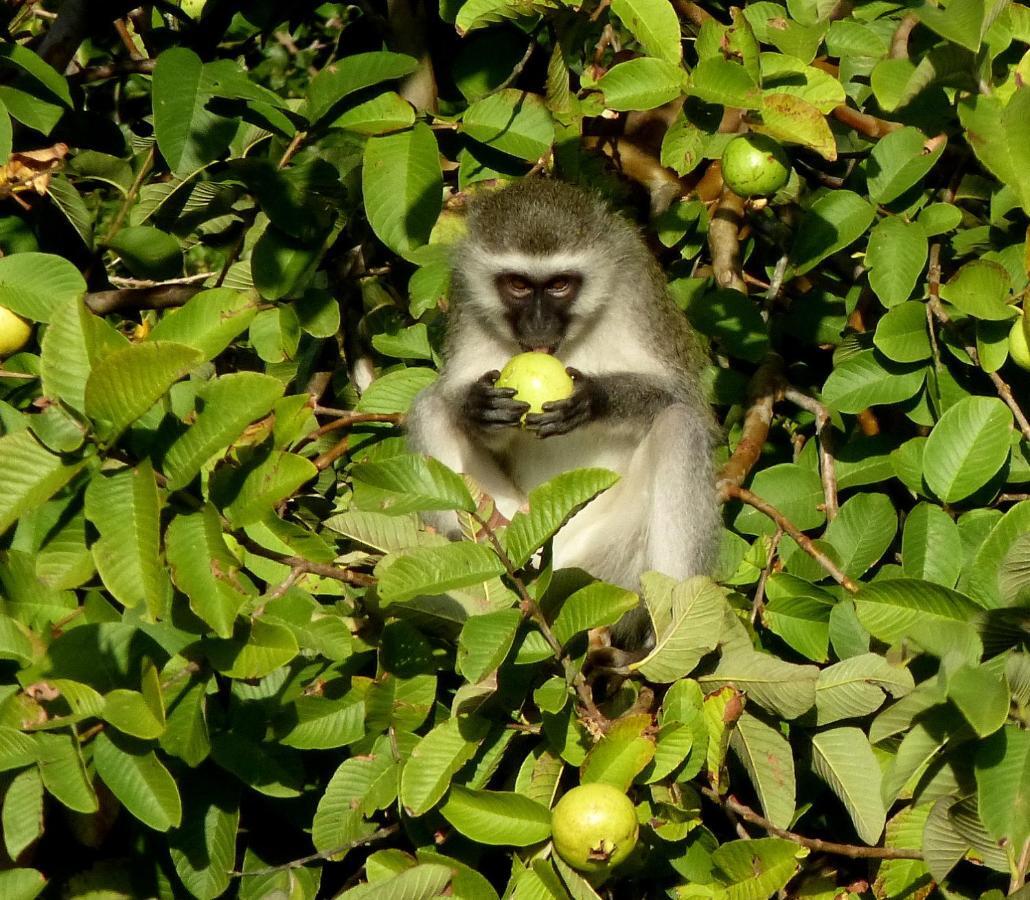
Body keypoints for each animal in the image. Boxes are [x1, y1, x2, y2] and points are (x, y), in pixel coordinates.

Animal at [405, 180, 721, 646]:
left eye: (559, 285)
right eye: (518, 284)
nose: (538, 325)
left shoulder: (637, 283)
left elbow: (682, 397)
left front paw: (594, 400)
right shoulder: (465, 297)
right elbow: (451, 394)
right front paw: (480, 408)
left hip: (614, 571)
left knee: (679, 425)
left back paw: (663, 637)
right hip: (516, 527)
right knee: (431, 406)